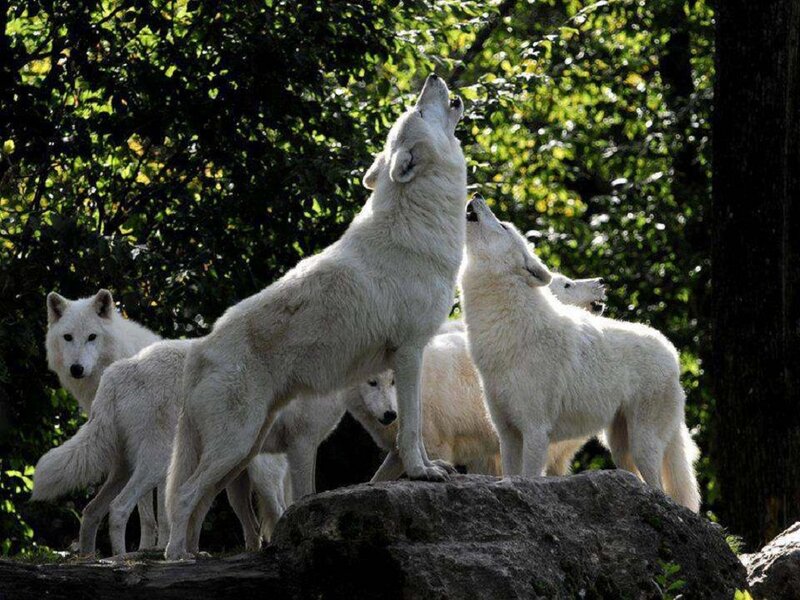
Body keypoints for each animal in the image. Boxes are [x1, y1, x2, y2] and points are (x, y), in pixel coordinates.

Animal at [164, 74, 467, 559]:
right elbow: (411, 427)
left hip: (243, 451)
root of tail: (199, 350)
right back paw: (176, 556)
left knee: (201, 499)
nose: (433, 78)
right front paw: (423, 473)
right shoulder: (409, 352)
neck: (419, 219)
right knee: (185, 495)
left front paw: (428, 467)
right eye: (419, 110)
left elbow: (411, 430)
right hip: (237, 445)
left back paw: (194, 553)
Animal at [459, 195, 701, 512]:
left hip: (643, 443)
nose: (477, 196)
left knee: (658, 486)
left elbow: (530, 477)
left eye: (503, 225)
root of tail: (671, 351)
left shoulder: (536, 431)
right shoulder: (508, 434)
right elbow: (511, 475)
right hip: (618, 445)